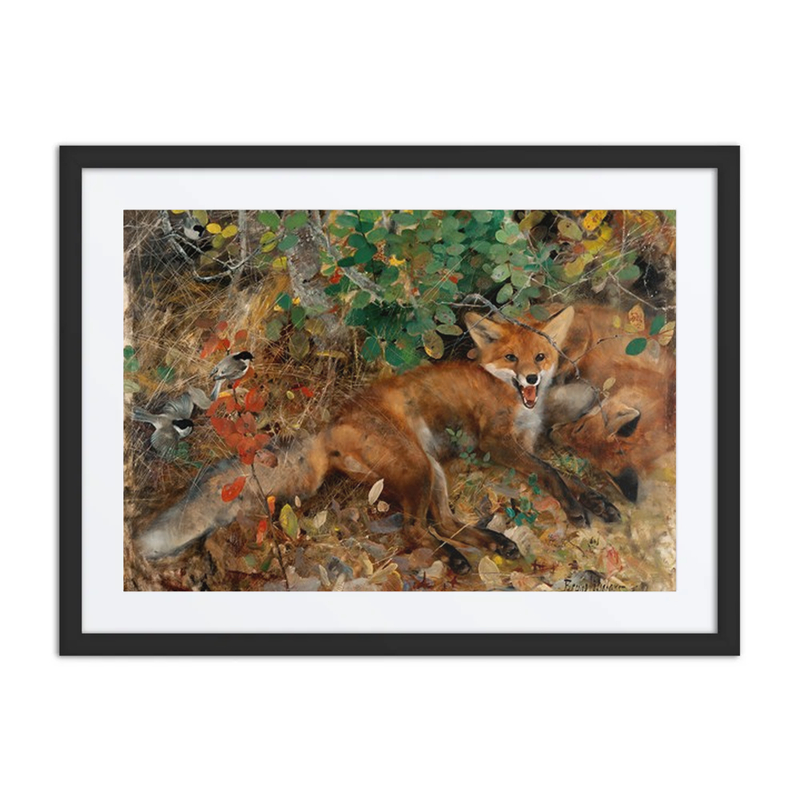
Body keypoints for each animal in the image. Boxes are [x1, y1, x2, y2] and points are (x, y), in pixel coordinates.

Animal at [135, 306, 623, 574]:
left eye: (540, 356)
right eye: (511, 358)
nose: (532, 379)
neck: (512, 398)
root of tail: (329, 425)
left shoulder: (525, 444)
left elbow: (568, 475)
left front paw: (600, 503)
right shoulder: (498, 444)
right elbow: (554, 474)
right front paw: (577, 510)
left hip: (432, 471)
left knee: (444, 523)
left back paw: (492, 544)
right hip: (419, 468)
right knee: (415, 529)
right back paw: (457, 560)